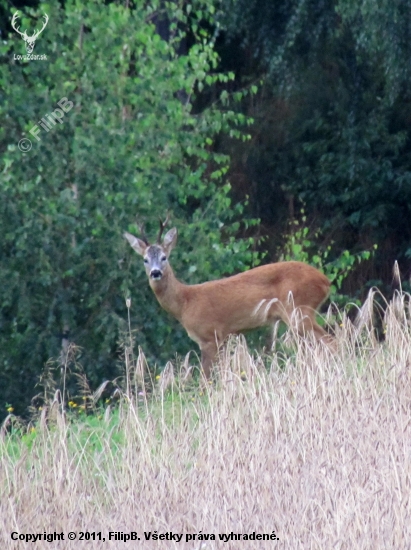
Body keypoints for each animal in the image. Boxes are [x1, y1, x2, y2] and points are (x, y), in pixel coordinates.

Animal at [124, 220, 334, 380]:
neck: (185, 303)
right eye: (145, 259)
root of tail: (325, 281)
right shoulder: (224, 337)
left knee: (331, 341)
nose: (155, 273)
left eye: (164, 257)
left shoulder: (210, 336)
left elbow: (206, 379)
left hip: (298, 309)